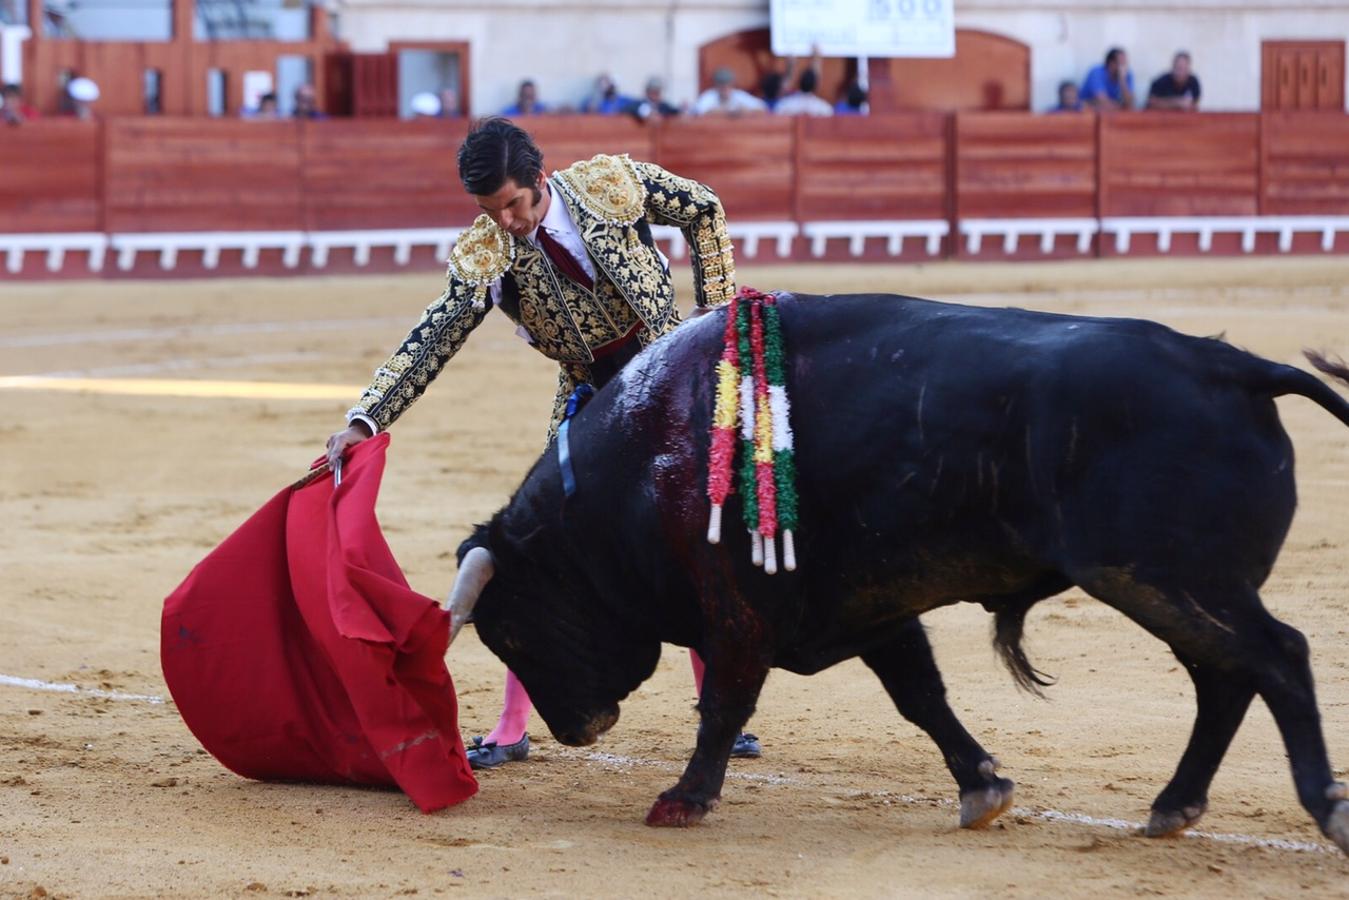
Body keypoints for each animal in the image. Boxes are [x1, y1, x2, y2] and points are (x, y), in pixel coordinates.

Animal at [447, 294, 1349, 852]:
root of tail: (1235, 367)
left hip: (1161, 578)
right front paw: (982, 788)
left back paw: (1324, 808)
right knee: (1225, 678)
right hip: (1169, 584)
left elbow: (725, 702)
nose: (577, 730)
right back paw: (1170, 808)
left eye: (512, 628)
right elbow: (920, 695)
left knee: (1276, 657)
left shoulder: (739, 607)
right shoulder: (868, 606)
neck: (639, 465)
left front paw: (682, 800)